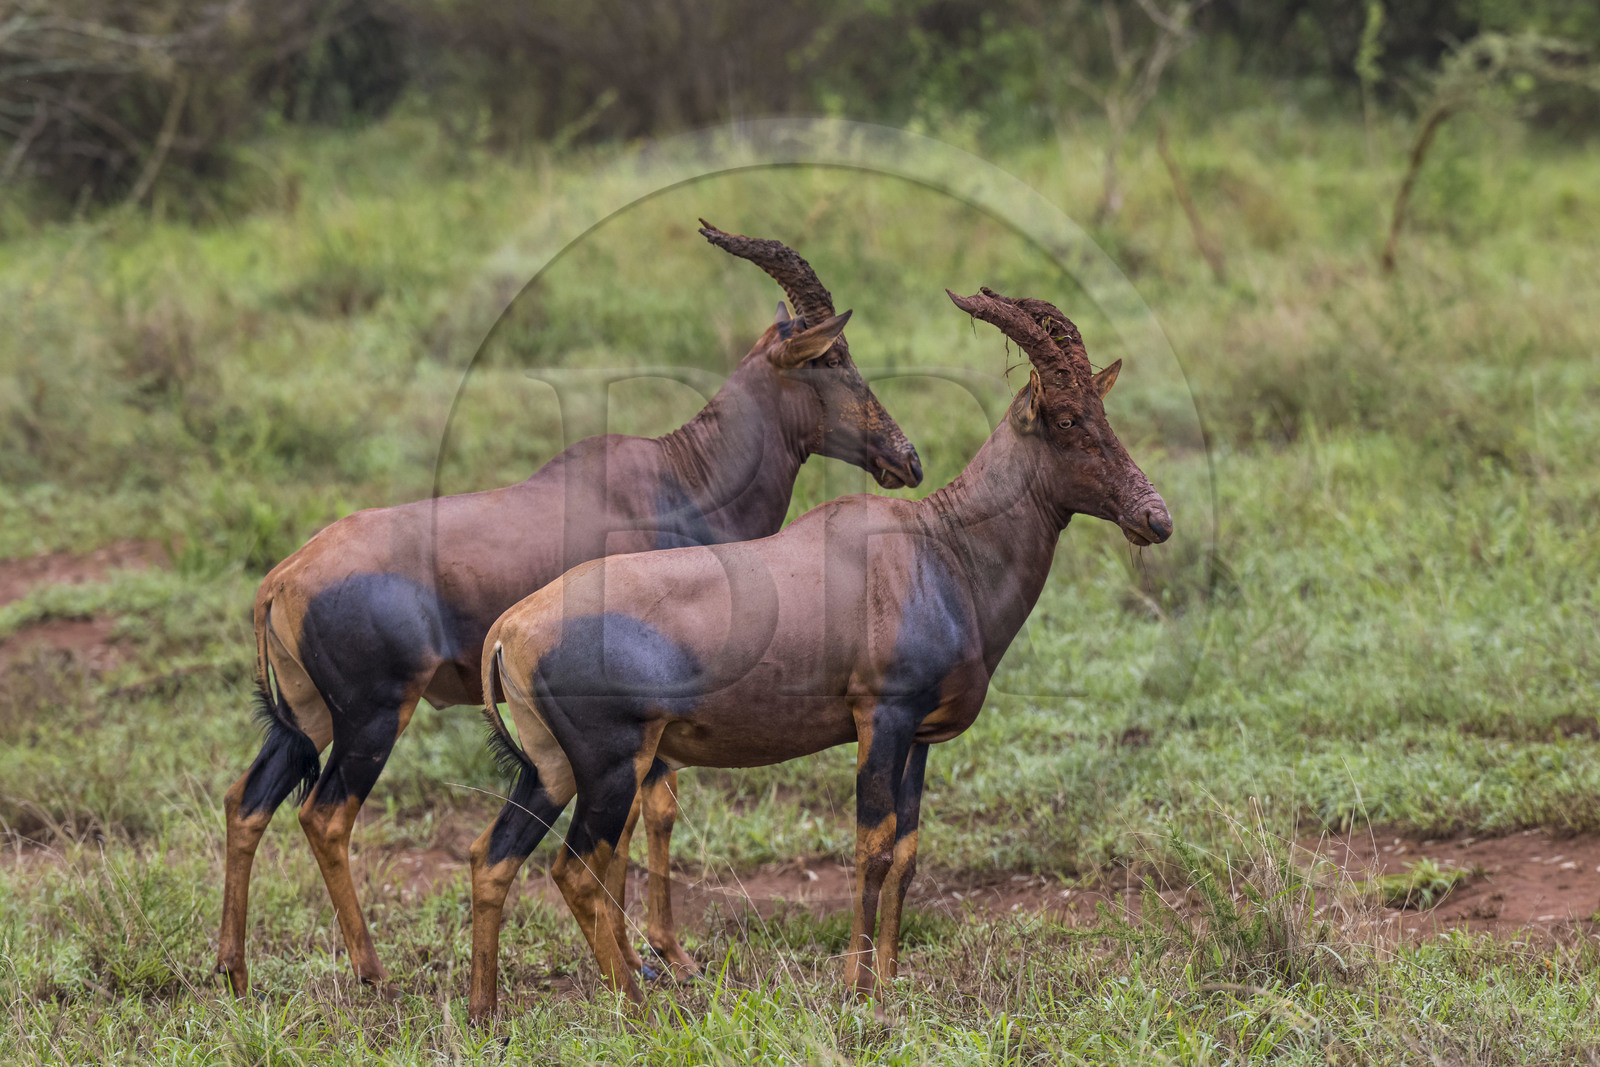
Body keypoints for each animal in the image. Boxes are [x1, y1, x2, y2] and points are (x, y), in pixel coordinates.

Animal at [215, 223, 923, 996]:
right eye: (833, 357)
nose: (907, 458)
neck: (679, 479)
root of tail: (282, 577)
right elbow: (654, 812)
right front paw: (661, 954)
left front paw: (640, 955)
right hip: (371, 714)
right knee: (325, 815)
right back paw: (373, 971)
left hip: (307, 717)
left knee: (247, 801)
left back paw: (234, 969)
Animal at [468, 287, 1173, 1018]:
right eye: (1065, 417)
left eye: (1102, 412)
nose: (1155, 518)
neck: (935, 545)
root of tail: (511, 627)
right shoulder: (880, 718)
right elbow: (871, 846)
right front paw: (857, 988)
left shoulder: (920, 736)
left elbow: (906, 851)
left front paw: (887, 982)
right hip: (609, 765)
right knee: (576, 868)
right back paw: (636, 1009)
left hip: (551, 769)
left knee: (495, 855)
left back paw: (487, 1015)